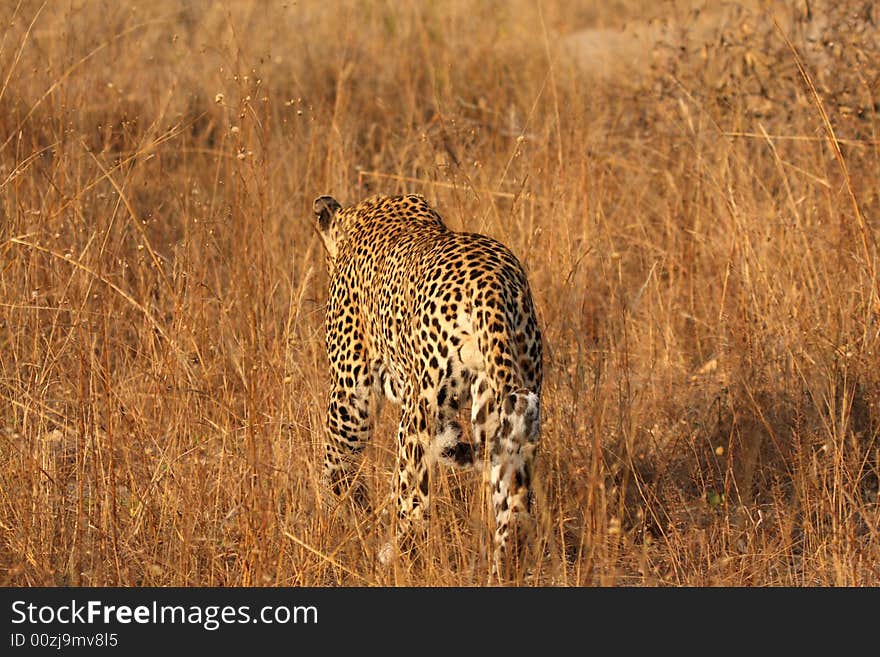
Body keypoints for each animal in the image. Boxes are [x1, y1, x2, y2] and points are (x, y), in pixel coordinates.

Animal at [312, 191, 540, 576]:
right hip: (505, 397)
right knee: (514, 507)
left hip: (420, 412)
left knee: (414, 507)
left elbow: (337, 462)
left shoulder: (350, 391)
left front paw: (340, 519)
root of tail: (492, 286)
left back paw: (396, 561)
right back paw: (503, 571)